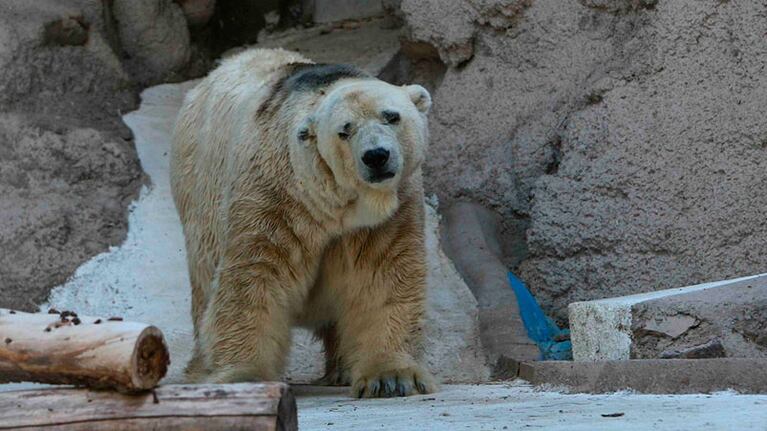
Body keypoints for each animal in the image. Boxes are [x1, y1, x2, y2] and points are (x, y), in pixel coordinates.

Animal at [170, 48, 436, 398]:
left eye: (392, 116)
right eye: (344, 130)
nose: (376, 156)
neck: (333, 203)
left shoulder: (388, 213)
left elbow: (383, 274)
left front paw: (391, 377)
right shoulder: (275, 196)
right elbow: (255, 275)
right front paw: (245, 376)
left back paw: (341, 369)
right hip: (199, 193)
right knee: (204, 284)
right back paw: (200, 369)